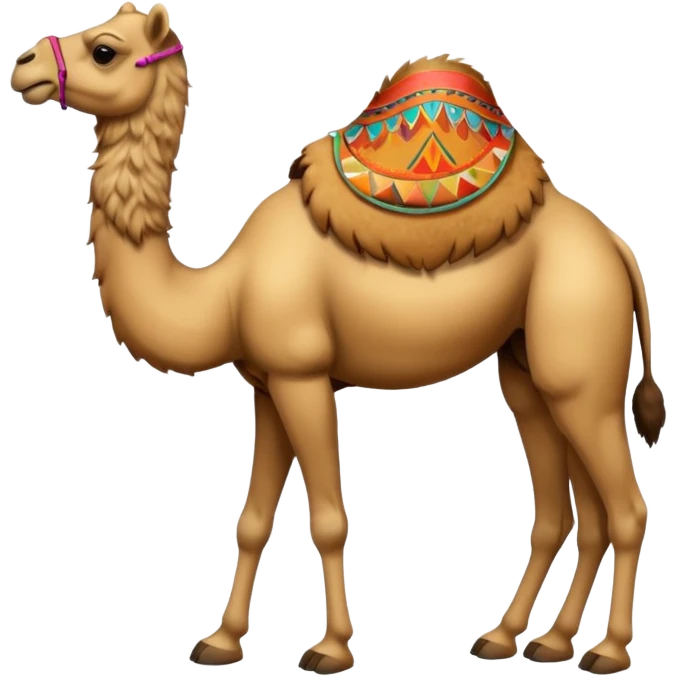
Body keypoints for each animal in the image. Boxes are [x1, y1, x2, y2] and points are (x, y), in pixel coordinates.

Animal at [10, 4, 666, 674]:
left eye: (105, 50)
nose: (24, 66)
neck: (225, 288)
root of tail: (616, 247)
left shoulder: (303, 375)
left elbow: (328, 517)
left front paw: (329, 648)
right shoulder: (268, 386)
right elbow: (252, 518)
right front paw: (219, 641)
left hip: (579, 359)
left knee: (625, 507)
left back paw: (607, 651)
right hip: (530, 366)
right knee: (571, 509)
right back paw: (527, 639)